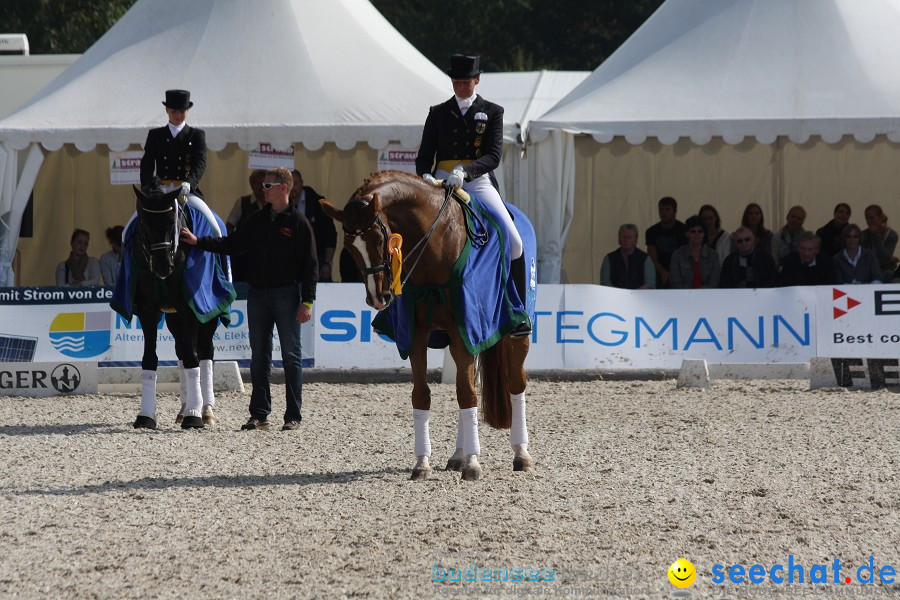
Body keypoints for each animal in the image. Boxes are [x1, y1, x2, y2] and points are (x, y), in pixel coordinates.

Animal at [112, 186, 234, 426]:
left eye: (173, 222)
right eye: (144, 224)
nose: (163, 266)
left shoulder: (192, 309)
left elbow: (193, 357)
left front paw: (194, 417)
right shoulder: (148, 311)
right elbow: (150, 358)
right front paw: (146, 416)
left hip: (207, 314)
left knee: (205, 352)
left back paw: (205, 410)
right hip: (173, 317)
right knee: (181, 350)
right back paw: (184, 408)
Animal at [322, 171, 536, 480]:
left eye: (379, 239)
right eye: (350, 247)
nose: (378, 298)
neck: (437, 242)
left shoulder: (465, 328)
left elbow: (467, 394)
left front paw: (473, 464)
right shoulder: (419, 335)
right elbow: (423, 396)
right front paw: (423, 463)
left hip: (513, 331)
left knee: (516, 383)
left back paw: (521, 454)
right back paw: (457, 456)